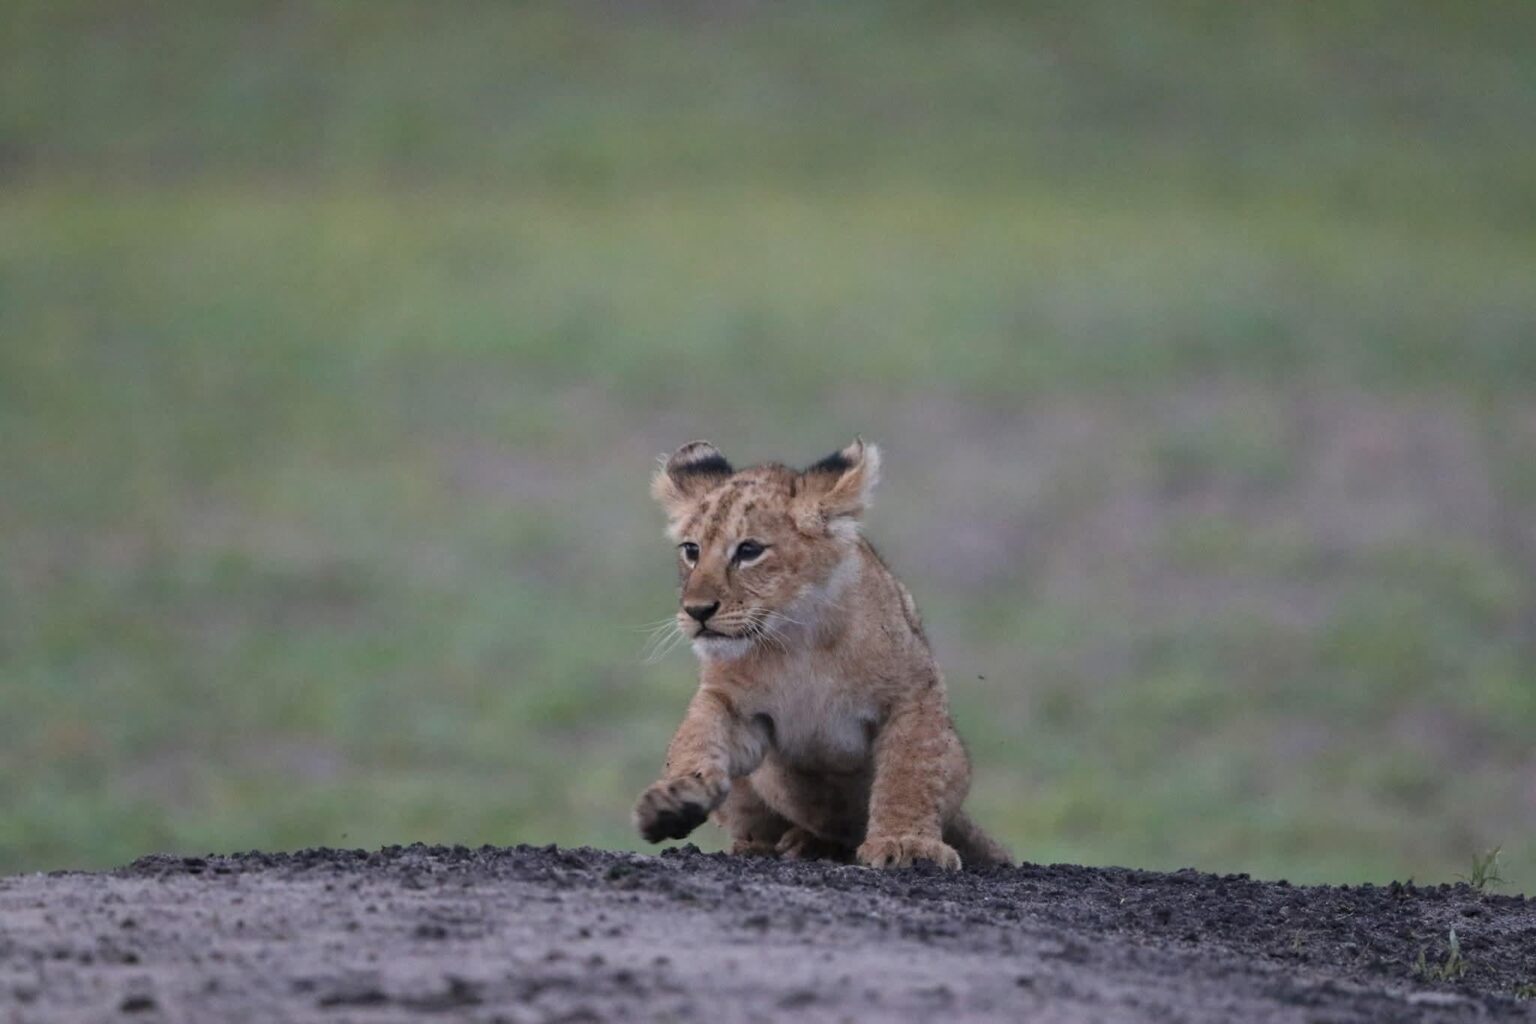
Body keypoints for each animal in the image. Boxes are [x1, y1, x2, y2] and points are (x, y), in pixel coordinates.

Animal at [632, 438, 1011, 871]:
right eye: (691, 550)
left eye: (749, 550)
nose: (697, 611)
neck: (797, 639)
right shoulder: (735, 705)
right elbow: (698, 737)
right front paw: (673, 799)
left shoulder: (912, 694)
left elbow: (909, 770)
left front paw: (907, 843)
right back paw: (780, 844)